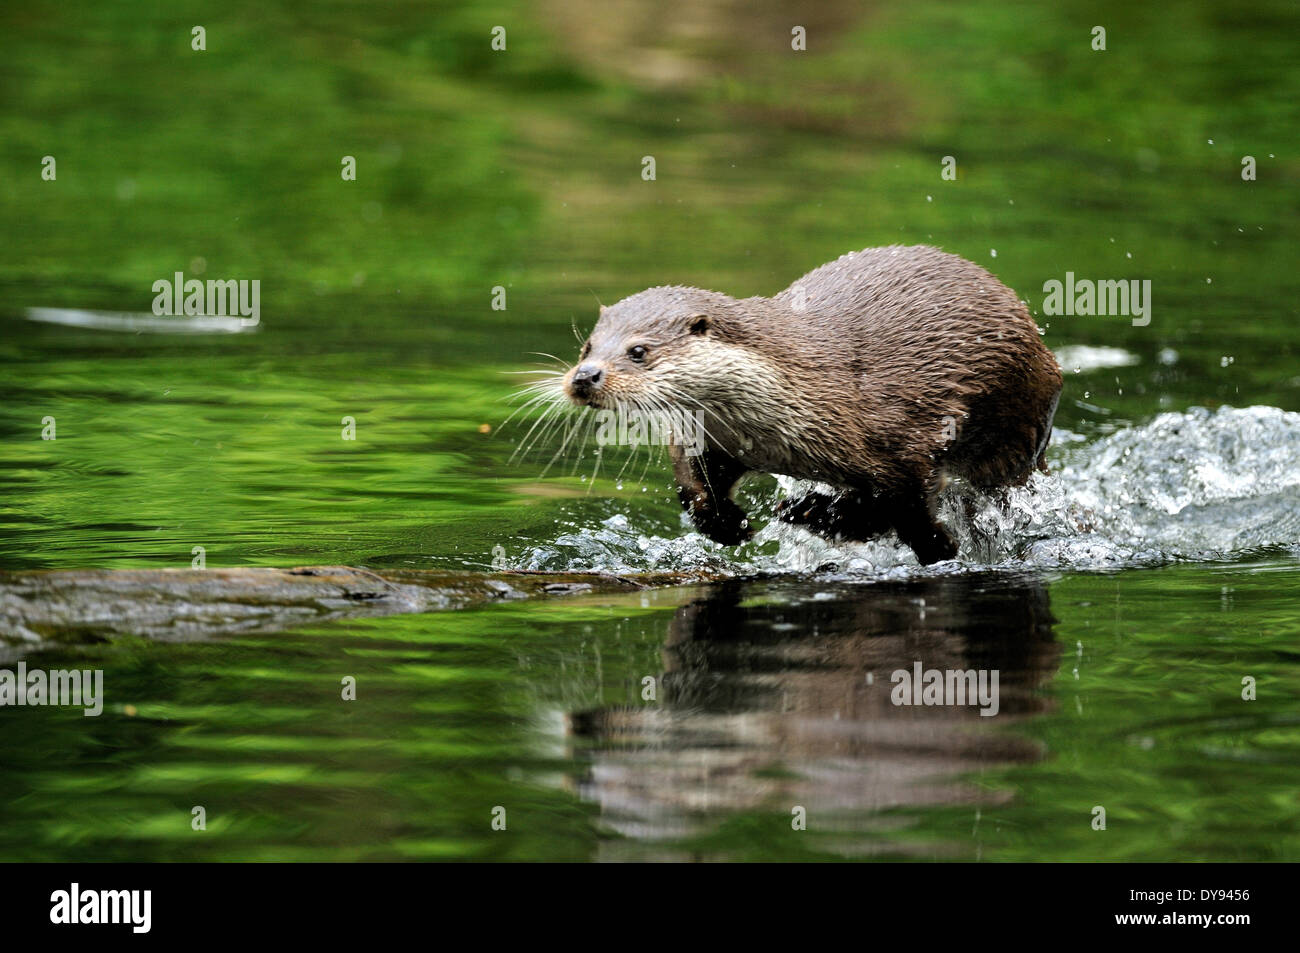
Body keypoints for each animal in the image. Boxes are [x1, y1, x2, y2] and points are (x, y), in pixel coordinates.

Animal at [560, 245, 1063, 565]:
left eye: (638, 351)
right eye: (587, 347)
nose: (585, 377)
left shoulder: (903, 437)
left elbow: (907, 508)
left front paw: (938, 548)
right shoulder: (714, 438)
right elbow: (693, 487)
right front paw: (729, 524)